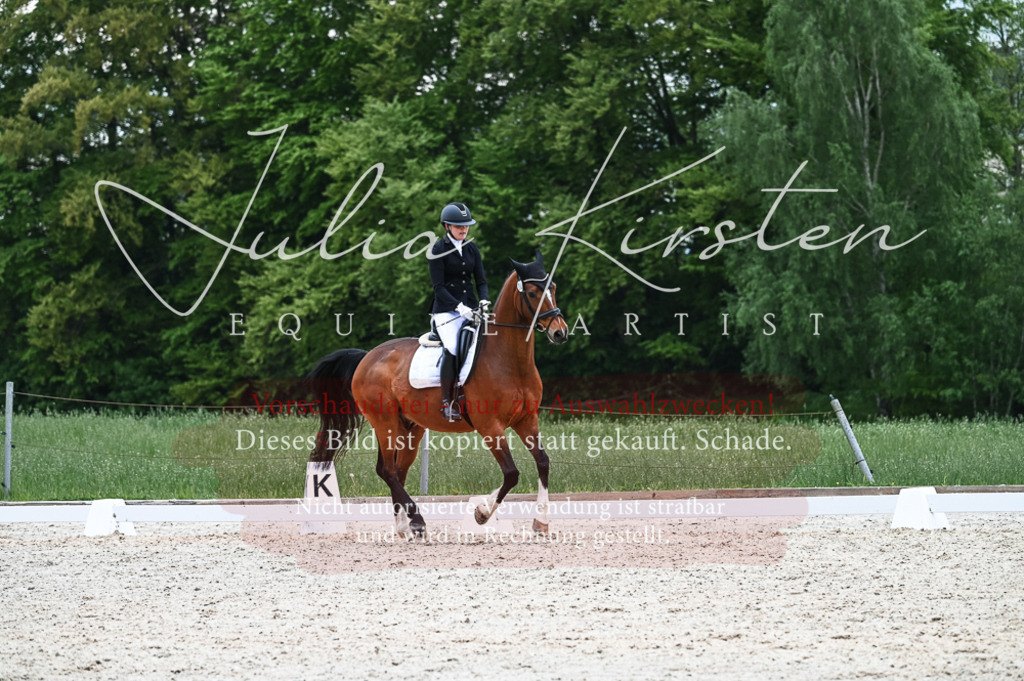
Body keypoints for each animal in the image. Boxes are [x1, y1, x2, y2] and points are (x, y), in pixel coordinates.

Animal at [307, 251, 569, 537]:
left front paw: (540, 523)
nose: (560, 332)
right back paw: (416, 519)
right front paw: (481, 513)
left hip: (410, 427)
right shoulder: (490, 426)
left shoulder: (527, 420)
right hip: (385, 422)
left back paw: (404, 525)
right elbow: (511, 473)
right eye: (532, 293)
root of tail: (368, 357)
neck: (511, 361)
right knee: (387, 470)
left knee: (397, 470)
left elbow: (543, 462)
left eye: (553, 288)